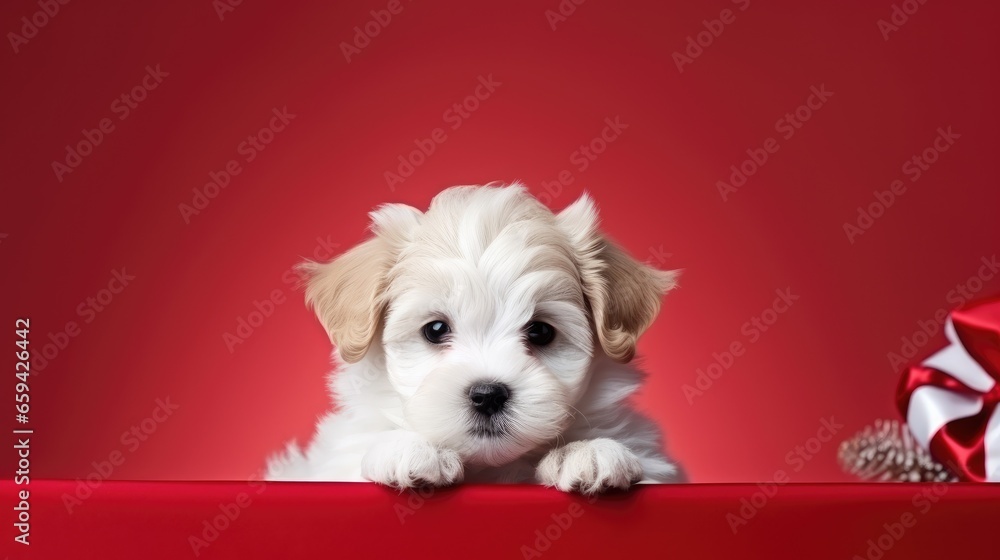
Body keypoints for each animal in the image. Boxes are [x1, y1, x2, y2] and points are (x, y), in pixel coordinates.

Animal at [268, 185, 680, 494]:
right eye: (435, 330)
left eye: (541, 331)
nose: (488, 395)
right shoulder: (329, 464)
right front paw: (410, 448)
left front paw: (586, 452)